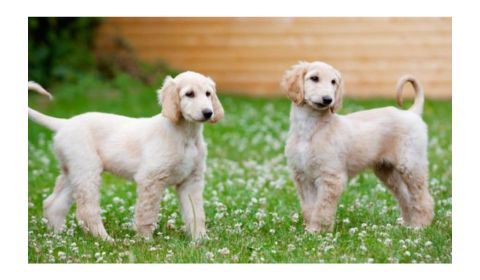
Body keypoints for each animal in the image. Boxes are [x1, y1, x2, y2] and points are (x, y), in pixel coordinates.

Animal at [28, 71, 225, 241]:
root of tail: (64, 123)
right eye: (189, 94)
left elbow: (196, 213)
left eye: (208, 94)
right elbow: (146, 213)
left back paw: (57, 237)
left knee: (53, 204)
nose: (208, 113)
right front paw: (145, 241)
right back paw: (105, 239)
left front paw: (200, 240)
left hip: (73, 172)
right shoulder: (150, 179)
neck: (186, 135)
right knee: (86, 210)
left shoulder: (191, 180)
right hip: (87, 170)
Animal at [282, 61, 436, 234]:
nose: (328, 100)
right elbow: (309, 207)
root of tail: (412, 113)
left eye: (333, 82)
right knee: (406, 196)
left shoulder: (331, 176)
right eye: (314, 78)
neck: (310, 128)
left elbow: (322, 207)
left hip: (411, 164)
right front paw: (309, 231)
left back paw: (420, 225)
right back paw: (408, 224)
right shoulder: (302, 176)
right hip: (387, 171)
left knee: (423, 197)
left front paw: (318, 230)